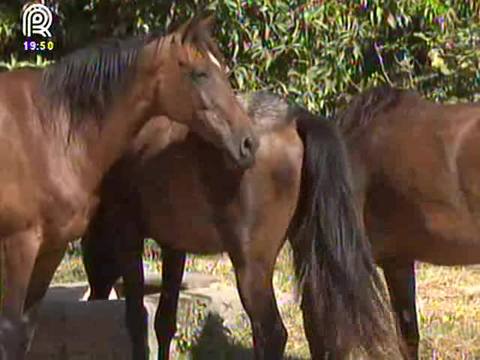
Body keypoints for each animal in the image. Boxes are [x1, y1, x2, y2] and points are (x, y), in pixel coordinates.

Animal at [0, 15, 258, 358]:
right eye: (199, 73)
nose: (248, 143)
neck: (47, 130)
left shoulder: (51, 250)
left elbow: (25, 333)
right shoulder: (18, 247)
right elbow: (9, 332)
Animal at [80, 91, 400, 358]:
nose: (94, 295)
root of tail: (293, 119)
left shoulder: (128, 236)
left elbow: (137, 320)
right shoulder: (174, 247)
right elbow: (164, 322)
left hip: (252, 267)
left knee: (272, 334)